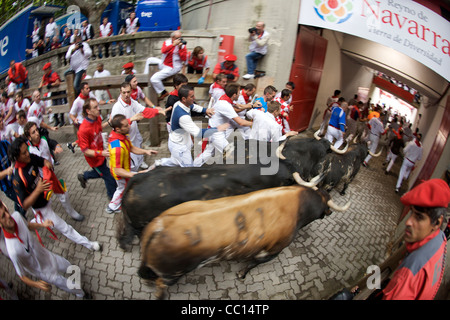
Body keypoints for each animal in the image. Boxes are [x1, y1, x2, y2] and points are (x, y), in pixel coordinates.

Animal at [139, 184, 350, 298]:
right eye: (326, 204)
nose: (329, 212)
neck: (299, 204)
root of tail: (159, 225)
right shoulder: (272, 251)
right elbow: (252, 264)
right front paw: (241, 275)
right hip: (172, 274)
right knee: (160, 285)